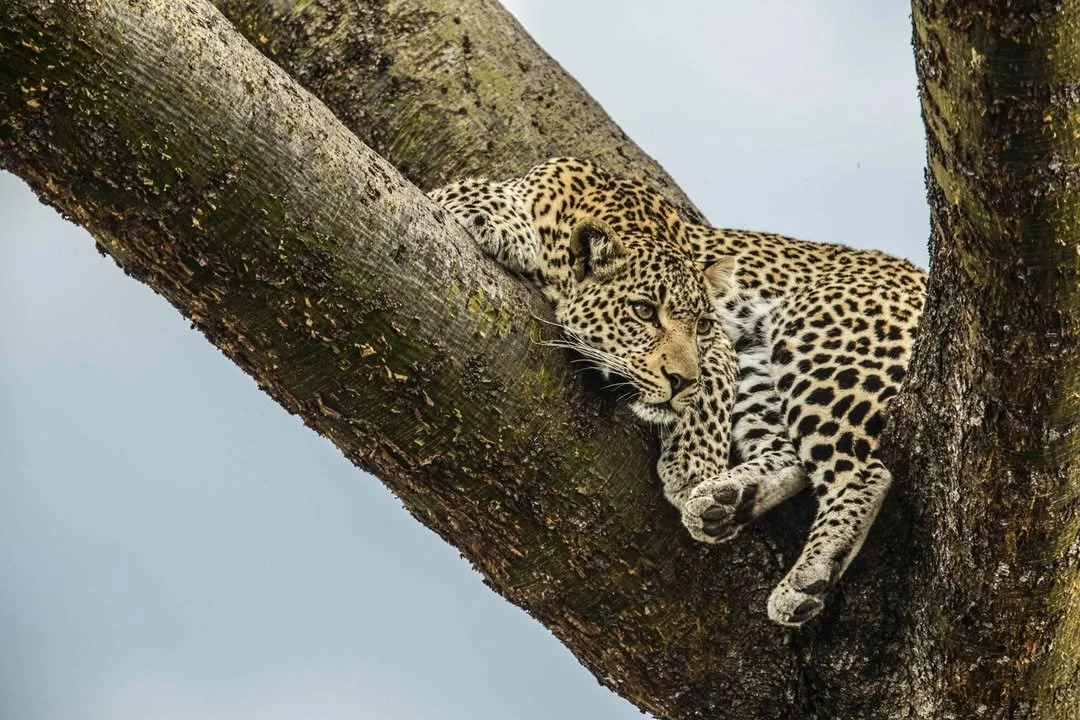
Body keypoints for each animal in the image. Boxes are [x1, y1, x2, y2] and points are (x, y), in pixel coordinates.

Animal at [429, 158, 926, 628]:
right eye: (644, 312)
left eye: (702, 325)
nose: (681, 381)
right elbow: (465, 193)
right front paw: (499, 220)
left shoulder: (722, 343)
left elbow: (712, 386)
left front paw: (691, 466)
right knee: (791, 453)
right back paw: (726, 500)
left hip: (816, 333)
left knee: (864, 471)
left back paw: (807, 575)